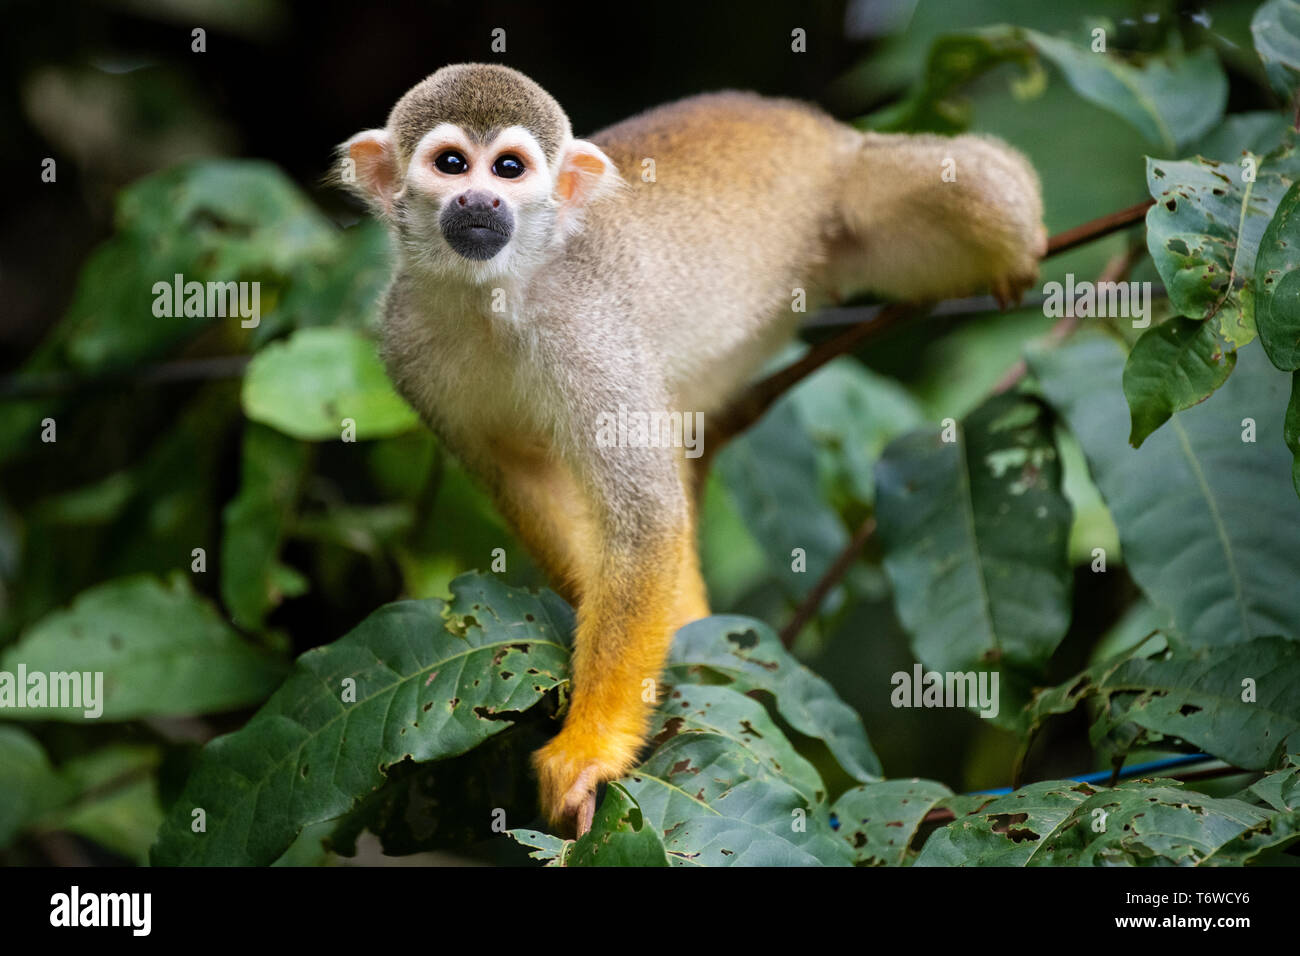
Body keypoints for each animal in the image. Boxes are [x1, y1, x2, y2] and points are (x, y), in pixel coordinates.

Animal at [343, 63, 1045, 832]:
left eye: (508, 168)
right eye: (450, 164)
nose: (479, 199)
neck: (492, 297)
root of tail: (801, 118)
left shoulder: (588, 329)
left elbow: (645, 520)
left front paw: (590, 748)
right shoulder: (405, 345)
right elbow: (530, 480)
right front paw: (663, 642)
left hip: (853, 189)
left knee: (980, 190)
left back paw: (1023, 248)